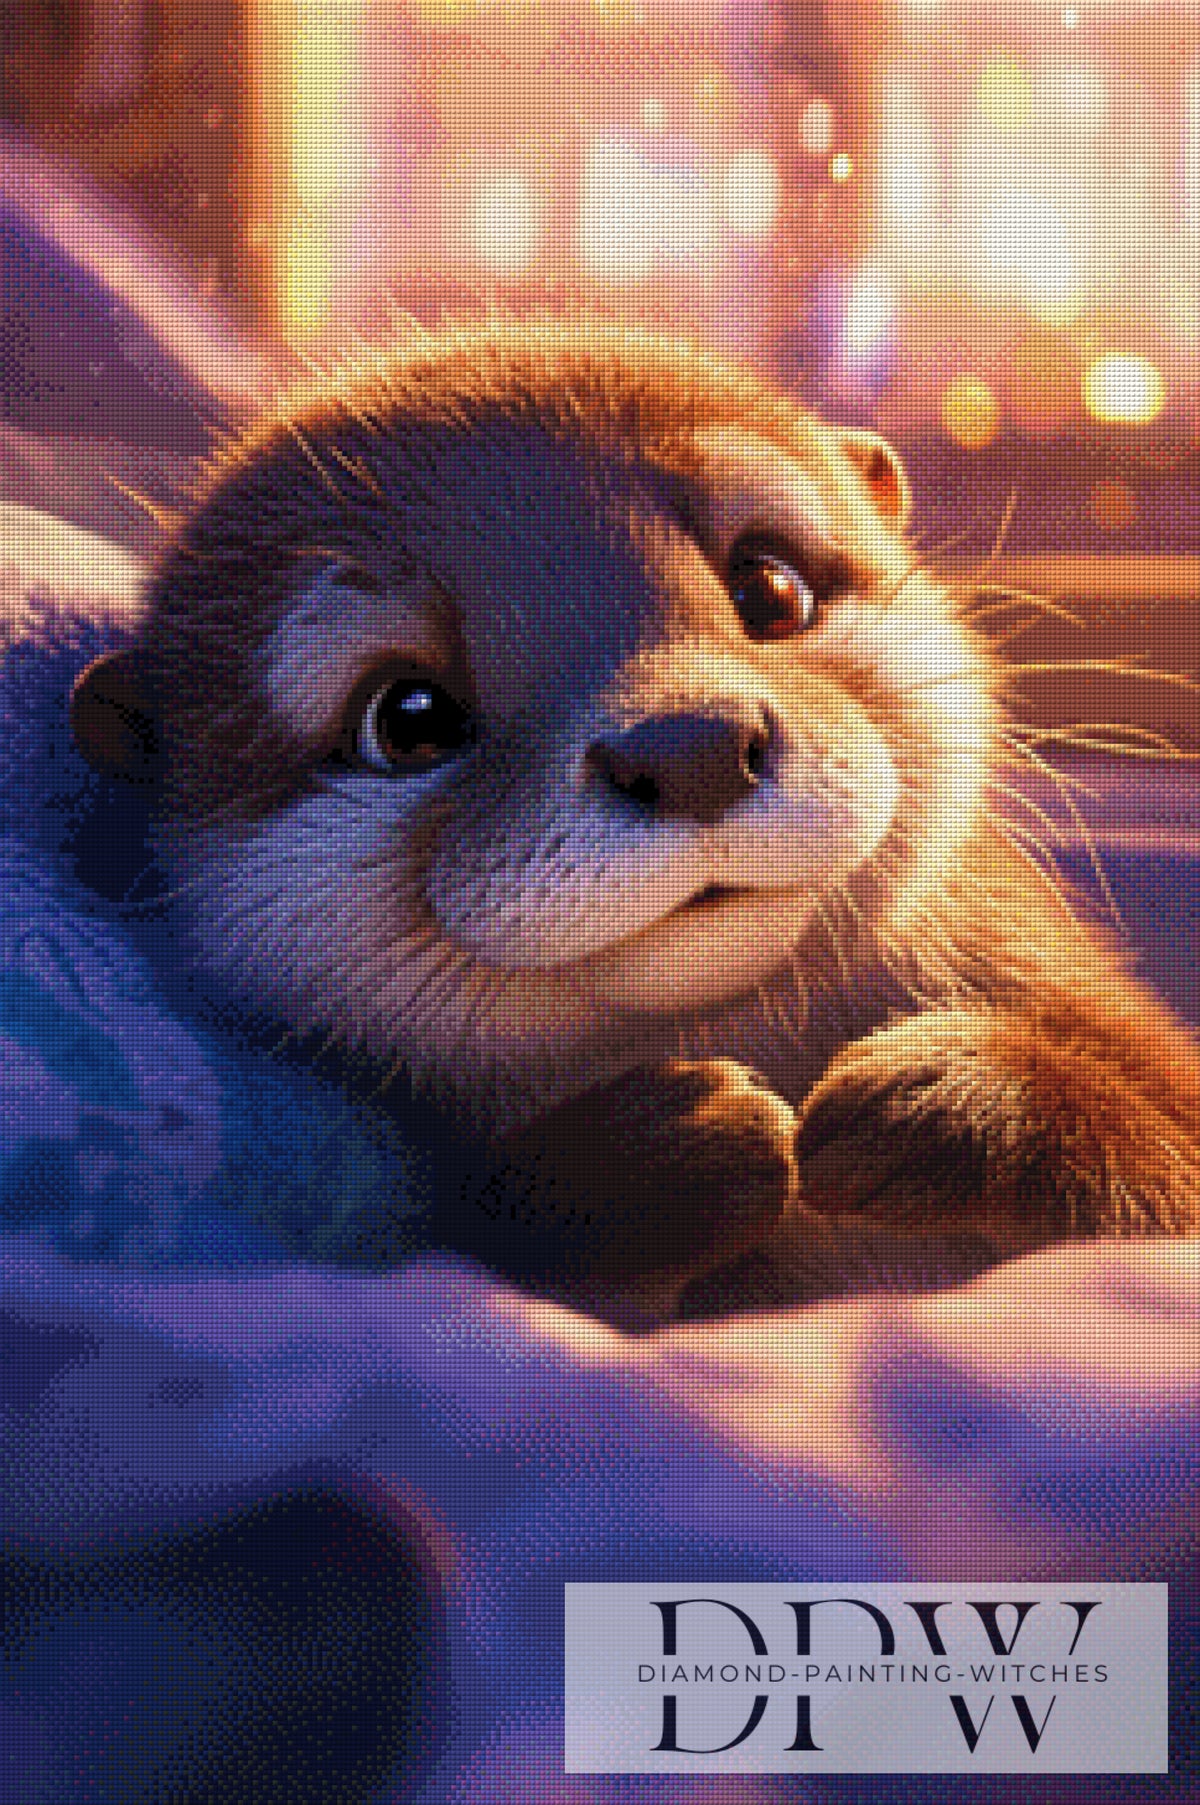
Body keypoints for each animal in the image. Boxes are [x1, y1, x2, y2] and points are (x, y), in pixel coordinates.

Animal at [69, 316, 1200, 1329]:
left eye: (771, 586)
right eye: (408, 717)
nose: (689, 745)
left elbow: (1169, 1137)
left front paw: (958, 1099)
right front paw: (649, 1160)